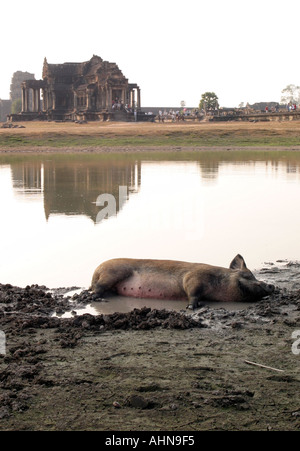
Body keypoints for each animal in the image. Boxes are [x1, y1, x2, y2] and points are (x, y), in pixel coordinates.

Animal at [91, 254, 274, 310]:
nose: (271, 285)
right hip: (112, 273)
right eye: (248, 275)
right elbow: (193, 293)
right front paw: (193, 307)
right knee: (97, 289)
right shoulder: (194, 277)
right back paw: (100, 298)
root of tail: (96, 270)